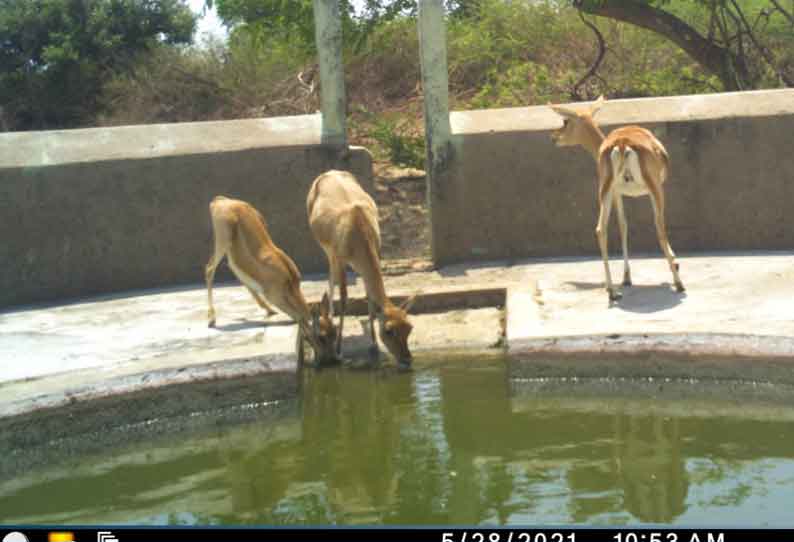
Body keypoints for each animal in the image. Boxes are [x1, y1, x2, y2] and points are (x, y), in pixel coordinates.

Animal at [204, 196, 338, 366]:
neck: (289, 283)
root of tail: (219, 200)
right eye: (322, 336)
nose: (333, 359)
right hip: (223, 238)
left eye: (335, 330)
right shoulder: (274, 296)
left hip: (234, 246)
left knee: (234, 268)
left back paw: (268, 310)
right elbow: (299, 317)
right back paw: (211, 319)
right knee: (209, 269)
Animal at [306, 170, 418, 370]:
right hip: (327, 249)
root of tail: (328, 172)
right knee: (331, 278)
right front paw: (338, 350)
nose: (406, 360)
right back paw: (329, 319)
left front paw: (373, 345)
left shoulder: (375, 254)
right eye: (389, 330)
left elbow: (370, 299)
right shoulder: (341, 258)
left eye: (409, 327)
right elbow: (344, 299)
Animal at [548, 95, 684, 304]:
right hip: (655, 189)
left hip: (606, 191)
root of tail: (622, 143)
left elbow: (622, 225)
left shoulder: (617, 193)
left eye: (565, 121)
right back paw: (679, 283)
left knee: (600, 229)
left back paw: (612, 291)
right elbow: (631, 226)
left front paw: (626, 278)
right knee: (660, 228)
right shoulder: (641, 192)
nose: (554, 135)